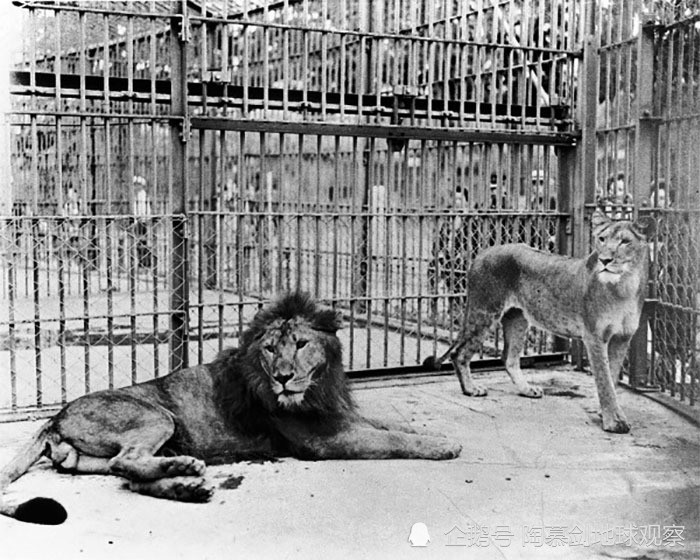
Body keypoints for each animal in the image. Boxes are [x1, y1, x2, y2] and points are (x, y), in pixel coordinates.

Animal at [0, 294, 462, 524]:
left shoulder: (341, 416)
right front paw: (446, 447)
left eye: (300, 344)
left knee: (127, 475)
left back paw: (187, 485)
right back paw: (186, 472)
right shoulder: (323, 439)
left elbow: (390, 424)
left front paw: (438, 436)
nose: (283, 378)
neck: (318, 386)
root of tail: (55, 418)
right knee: (125, 463)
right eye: (271, 348)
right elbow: (391, 438)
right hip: (157, 415)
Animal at [426, 209, 656, 434]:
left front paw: (606, 413)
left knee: (508, 358)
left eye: (625, 242)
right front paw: (613, 422)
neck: (625, 287)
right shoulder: (594, 338)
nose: (605, 260)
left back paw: (527, 389)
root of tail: (483, 252)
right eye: (602, 239)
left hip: (517, 318)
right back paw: (471, 389)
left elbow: (613, 377)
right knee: (459, 353)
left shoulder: (622, 338)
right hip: (485, 311)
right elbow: (605, 381)